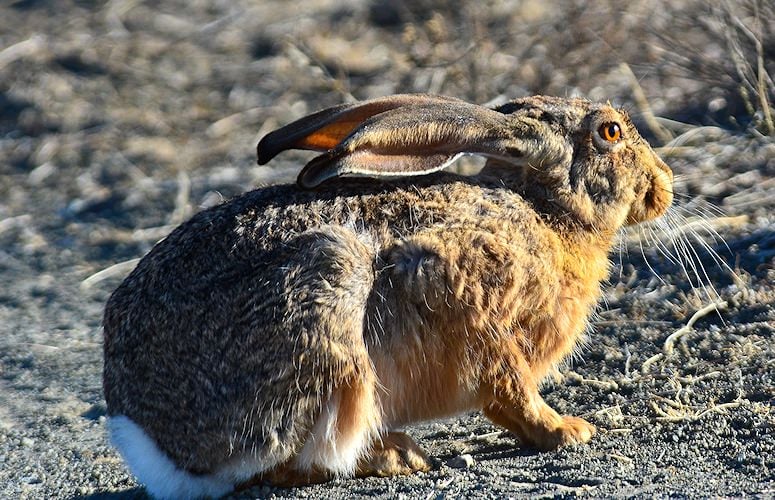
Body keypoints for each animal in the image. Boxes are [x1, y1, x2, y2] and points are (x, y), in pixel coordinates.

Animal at [103, 93, 673, 499]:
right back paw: (395, 456)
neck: (544, 211)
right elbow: (508, 387)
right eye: (611, 132)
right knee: (278, 463)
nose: (664, 183)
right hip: (328, 295)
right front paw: (568, 430)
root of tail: (145, 434)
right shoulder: (458, 292)